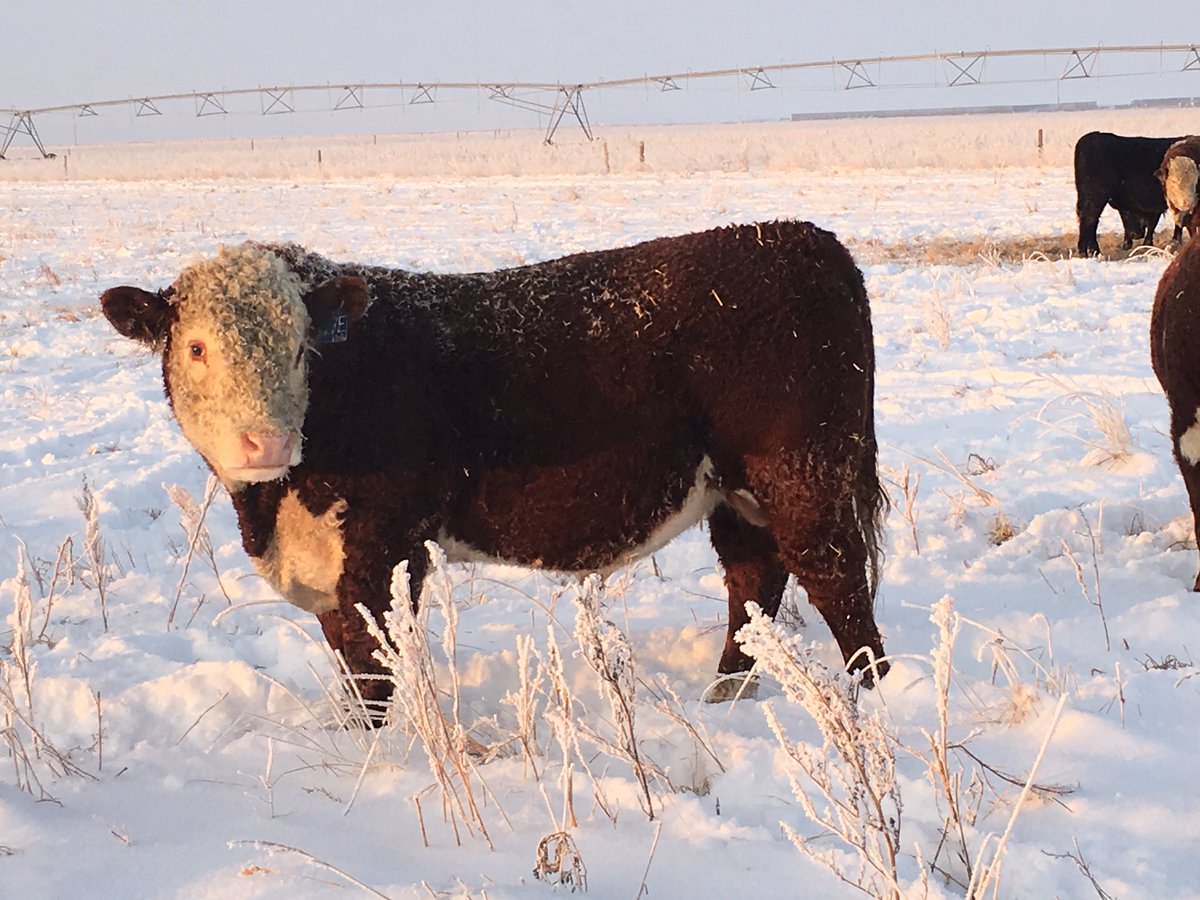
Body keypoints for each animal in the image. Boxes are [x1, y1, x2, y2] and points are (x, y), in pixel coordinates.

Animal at [100, 223, 889, 711]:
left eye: (301, 348)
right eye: (196, 347)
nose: (264, 442)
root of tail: (804, 239)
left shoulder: (383, 549)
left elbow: (373, 670)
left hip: (804, 476)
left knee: (836, 583)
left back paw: (874, 701)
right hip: (735, 492)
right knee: (754, 580)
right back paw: (725, 696)